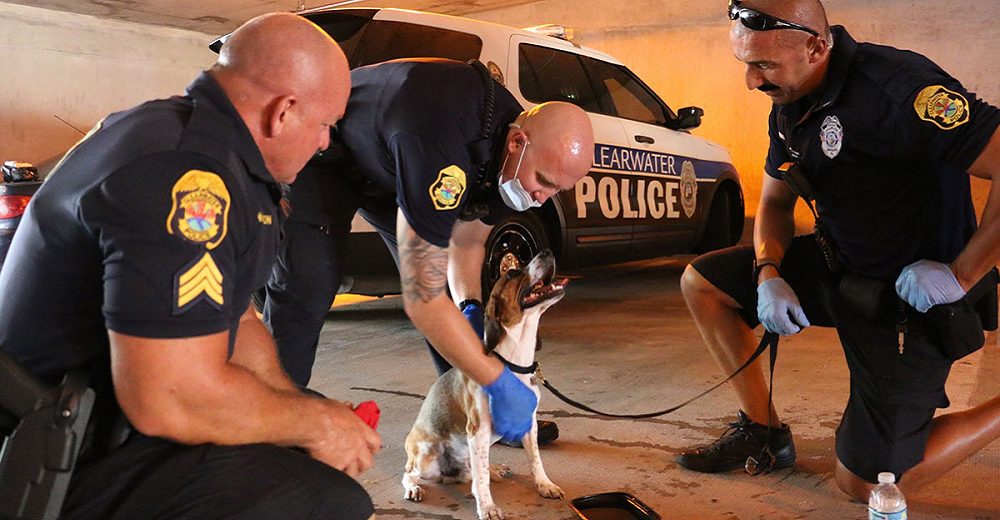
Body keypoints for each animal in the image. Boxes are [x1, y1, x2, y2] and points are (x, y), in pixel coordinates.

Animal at [402, 250, 568, 516]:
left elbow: (535, 460)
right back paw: (413, 488)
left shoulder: (528, 422)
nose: (546, 252)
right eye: (511, 273)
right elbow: (481, 480)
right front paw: (487, 507)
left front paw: (545, 485)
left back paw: (494, 469)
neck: (513, 362)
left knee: (473, 469)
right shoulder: (478, 430)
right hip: (427, 455)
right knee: (410, 474)